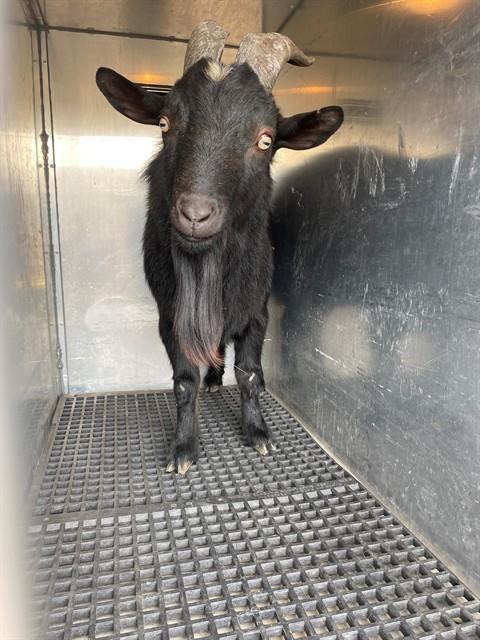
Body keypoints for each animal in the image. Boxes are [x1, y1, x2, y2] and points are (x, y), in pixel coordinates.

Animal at [96, 21, 343, 474]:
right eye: (164, 122)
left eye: (266, 140)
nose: (195, 214)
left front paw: (258, 433)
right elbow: (183, 380)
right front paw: (183, 449)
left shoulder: (256, 311)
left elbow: (249, 374)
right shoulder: (170, 316)